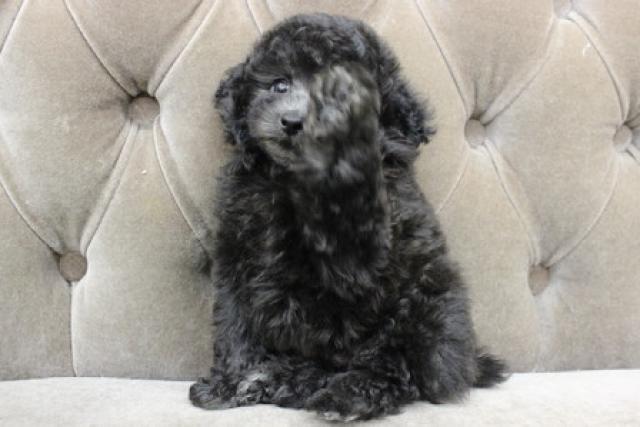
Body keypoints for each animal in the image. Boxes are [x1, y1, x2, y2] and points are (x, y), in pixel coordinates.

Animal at [190, 13, 506, 421]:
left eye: (341, 97)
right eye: (279, 84)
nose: (293, 121)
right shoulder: (237, 258)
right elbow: (234, 325)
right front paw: (228, 383)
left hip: (426, 303)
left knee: (395, 367)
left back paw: (347, 396)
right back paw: (277, 379)